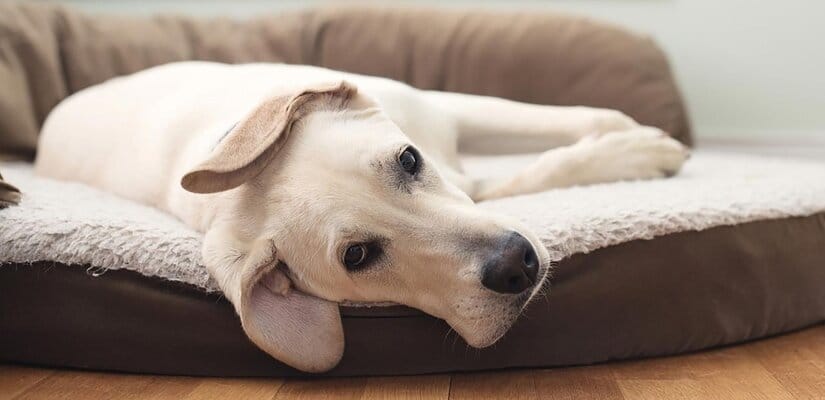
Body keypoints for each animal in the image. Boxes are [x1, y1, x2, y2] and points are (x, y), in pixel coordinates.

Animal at [33, 61, 688, 372]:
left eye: (409, 159)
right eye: (358, 256)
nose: (516, 265)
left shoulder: (446, 115)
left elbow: (563, 120)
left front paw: (636, 139)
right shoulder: (475, 179)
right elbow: (534, 172)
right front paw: (633, 154)